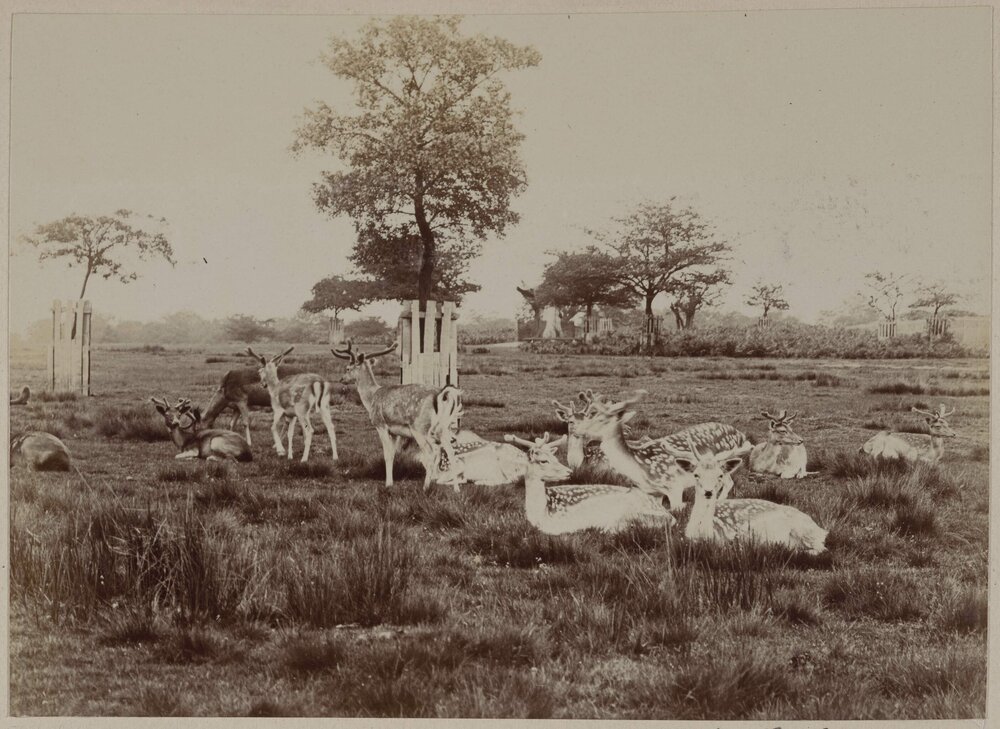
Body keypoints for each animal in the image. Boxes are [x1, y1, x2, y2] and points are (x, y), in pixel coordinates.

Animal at [332, 340, 452, 491]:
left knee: (431, 453)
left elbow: (387, 455)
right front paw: (391, 481)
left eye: (347, 368)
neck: (371, 397)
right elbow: (394, 454)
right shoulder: (395, 432)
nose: (341, 379)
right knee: (445, 450)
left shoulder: (381, 424)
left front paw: (388, 483)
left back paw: (426, 486)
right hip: (443, 428)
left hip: (420, 428)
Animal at [569, 390, 753, 511]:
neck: (639, 466)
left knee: (728, 483)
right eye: (590, 414)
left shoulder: (674, 486)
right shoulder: (653, 493)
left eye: (600, 419)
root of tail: (741, 435)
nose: (577, 430)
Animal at [679, 434, 828, 554]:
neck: (703, 534)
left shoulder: (731, 539)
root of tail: (822, 530)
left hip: (804, 531)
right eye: (696, 474)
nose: (708, 491)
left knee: (821, 549)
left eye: (720, 475)